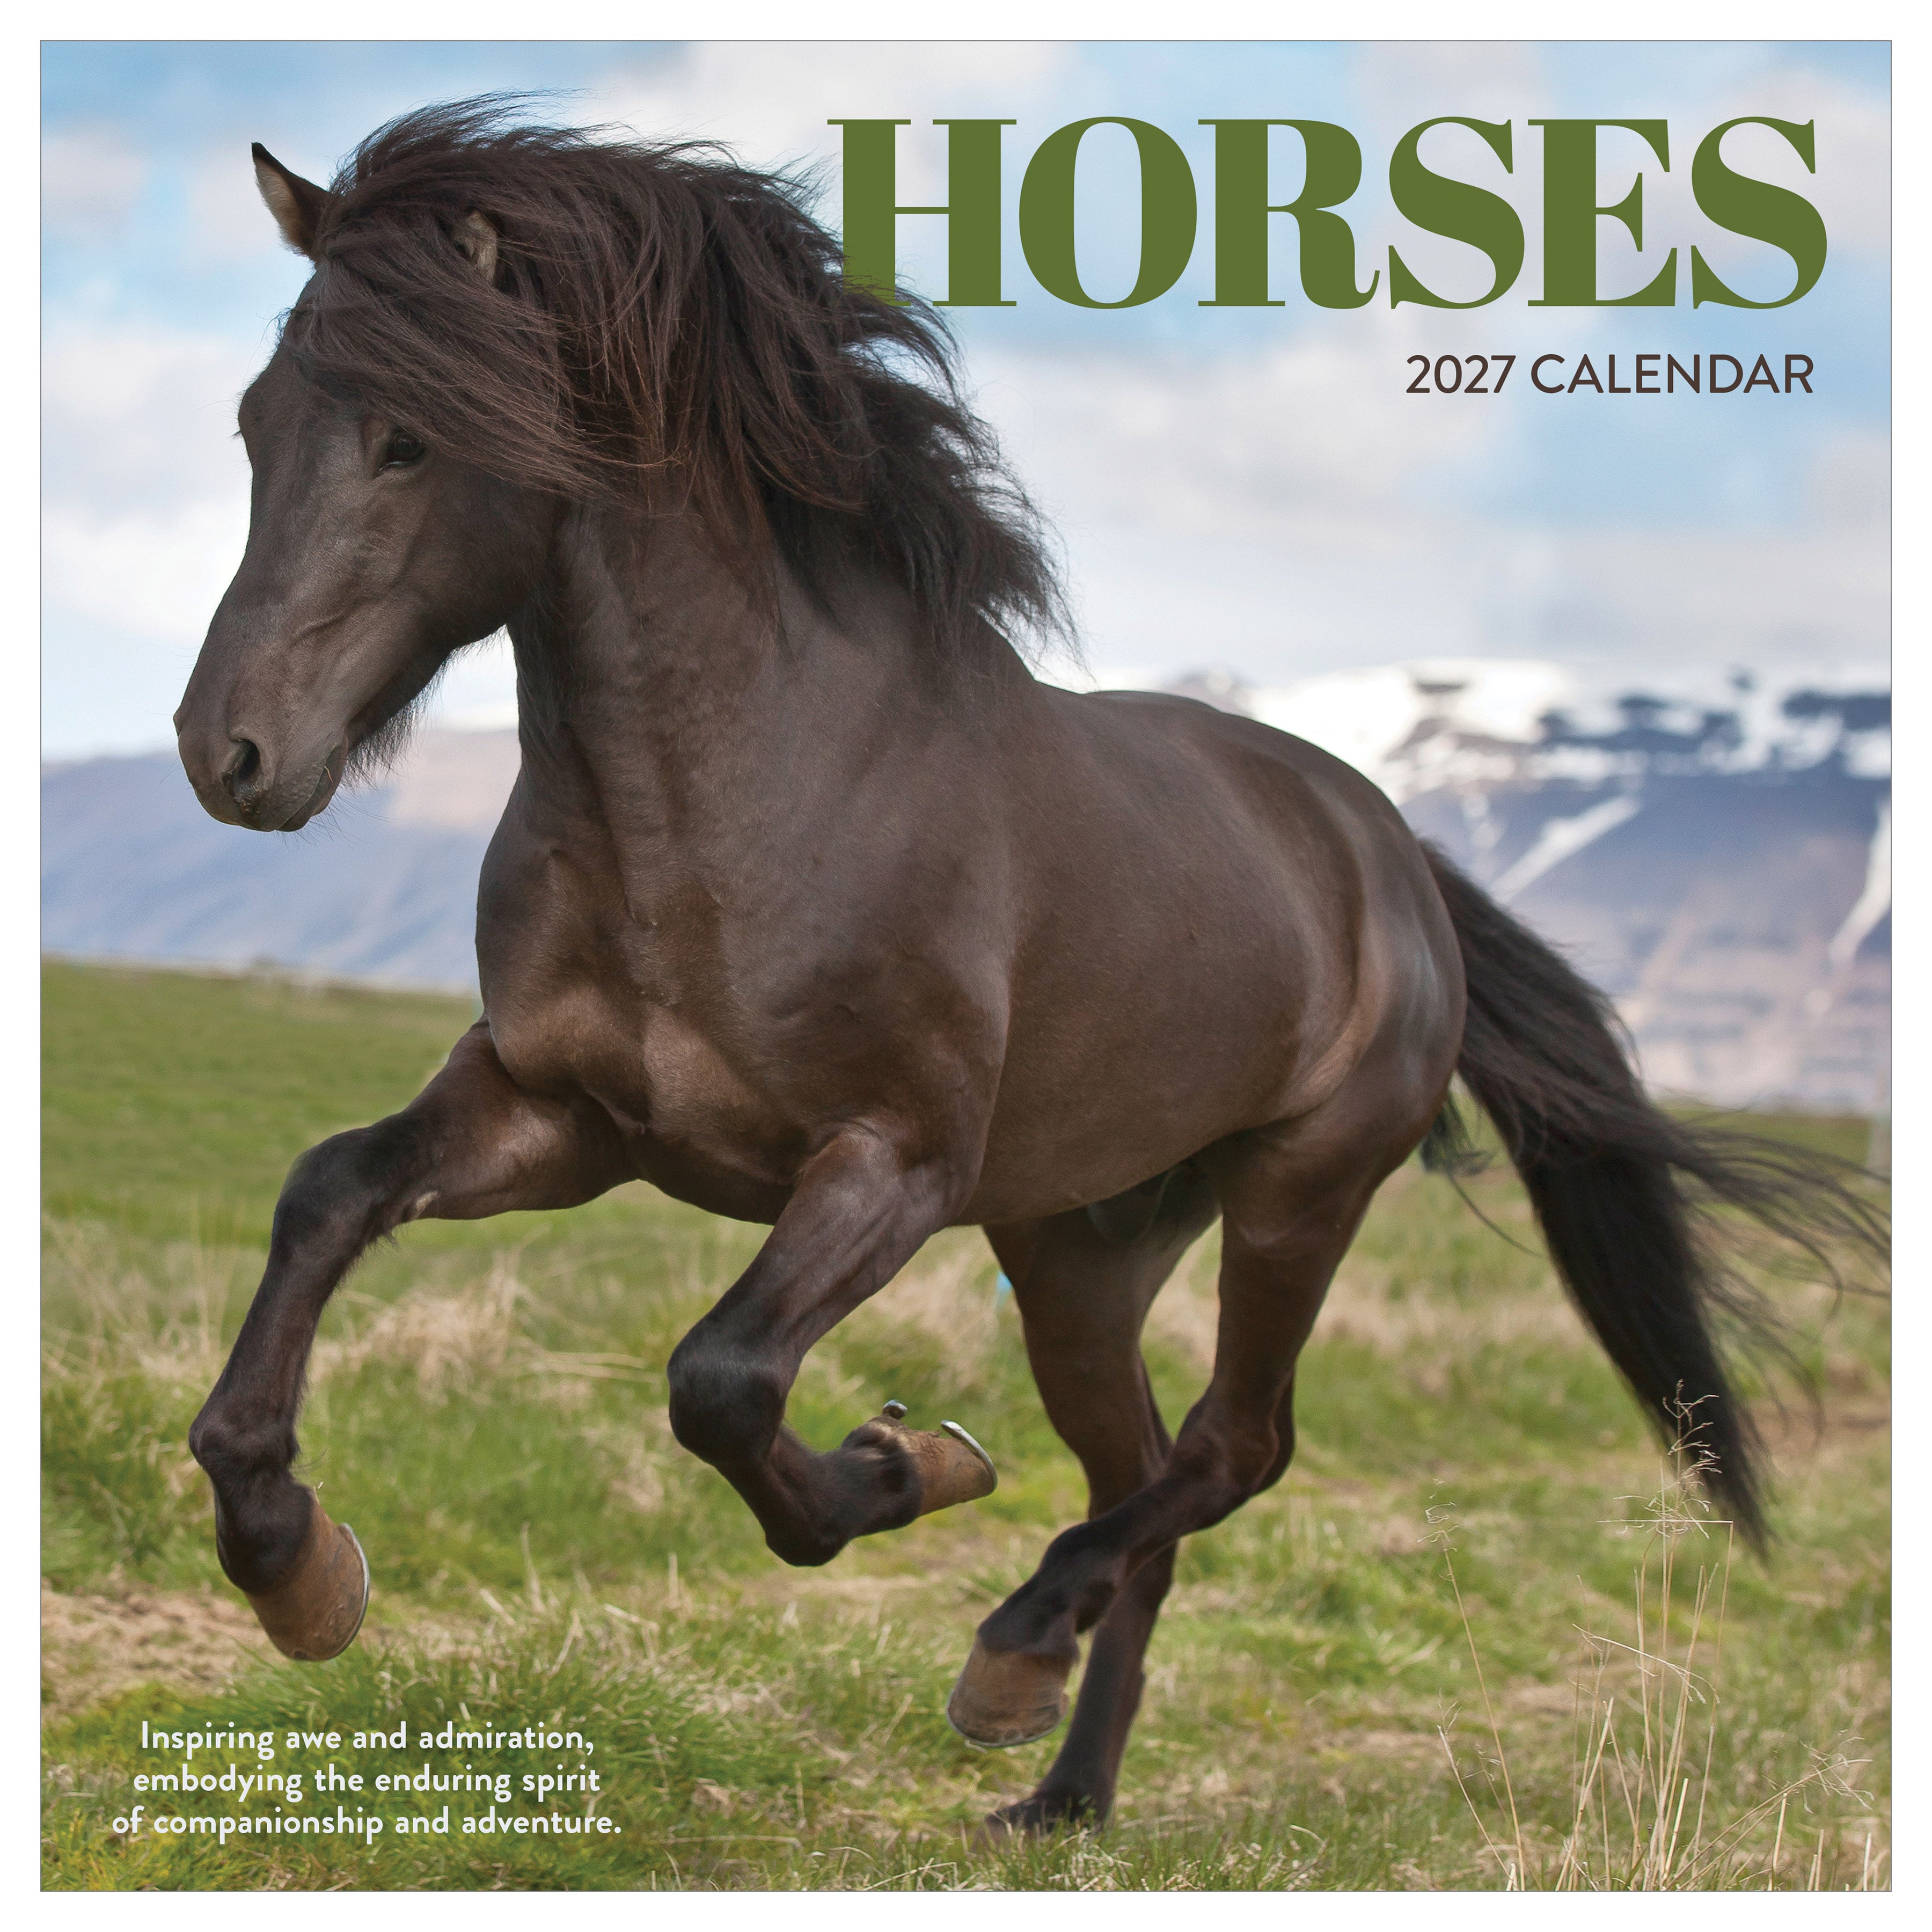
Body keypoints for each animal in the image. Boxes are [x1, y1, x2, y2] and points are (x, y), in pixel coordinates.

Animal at [173, 101, 1882, 1836]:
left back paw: (1014, 1649)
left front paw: (902, 1467)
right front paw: (294, 1565)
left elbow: (722, 1379)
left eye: (408, 439)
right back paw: (1061, 1784)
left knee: (1233, 1449)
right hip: (1078, 1251)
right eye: (253, 424)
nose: (227, 752)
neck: (734, 800)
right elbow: (329, 1191)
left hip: (1298, 1192)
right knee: (1145, 1479)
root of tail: (1389, 851)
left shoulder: (891, 1162)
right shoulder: (560, 1115)